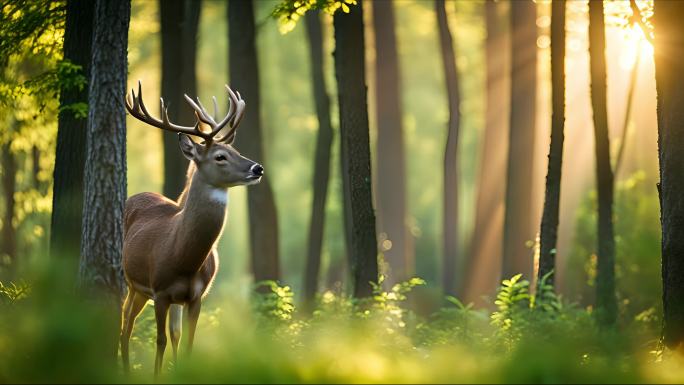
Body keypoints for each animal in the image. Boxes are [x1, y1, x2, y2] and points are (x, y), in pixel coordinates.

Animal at [121, 80, 264, 376]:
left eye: (237, 151)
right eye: (220, 157)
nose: (258, 168)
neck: (183, 257)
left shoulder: (196, 296)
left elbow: (186, 342)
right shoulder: (160, 291)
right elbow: (160, 341)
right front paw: (156, 376)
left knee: (160, 329)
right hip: (132, 281)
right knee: (126, 319)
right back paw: (125, 368)